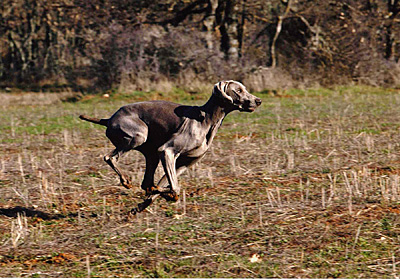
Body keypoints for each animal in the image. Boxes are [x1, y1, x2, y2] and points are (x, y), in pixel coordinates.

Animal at [79, 81, 260, 214]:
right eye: (238, 90)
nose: (258, 101)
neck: (207, 119)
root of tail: (109, 119)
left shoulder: (183, 164)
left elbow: (168, 186)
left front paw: (144, 204)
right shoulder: (167, 152)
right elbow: (175, 188)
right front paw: (165, 195)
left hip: (151, 153)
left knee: (146, 182)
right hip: (139, 135)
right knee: (110, 157)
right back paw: (126, 181)